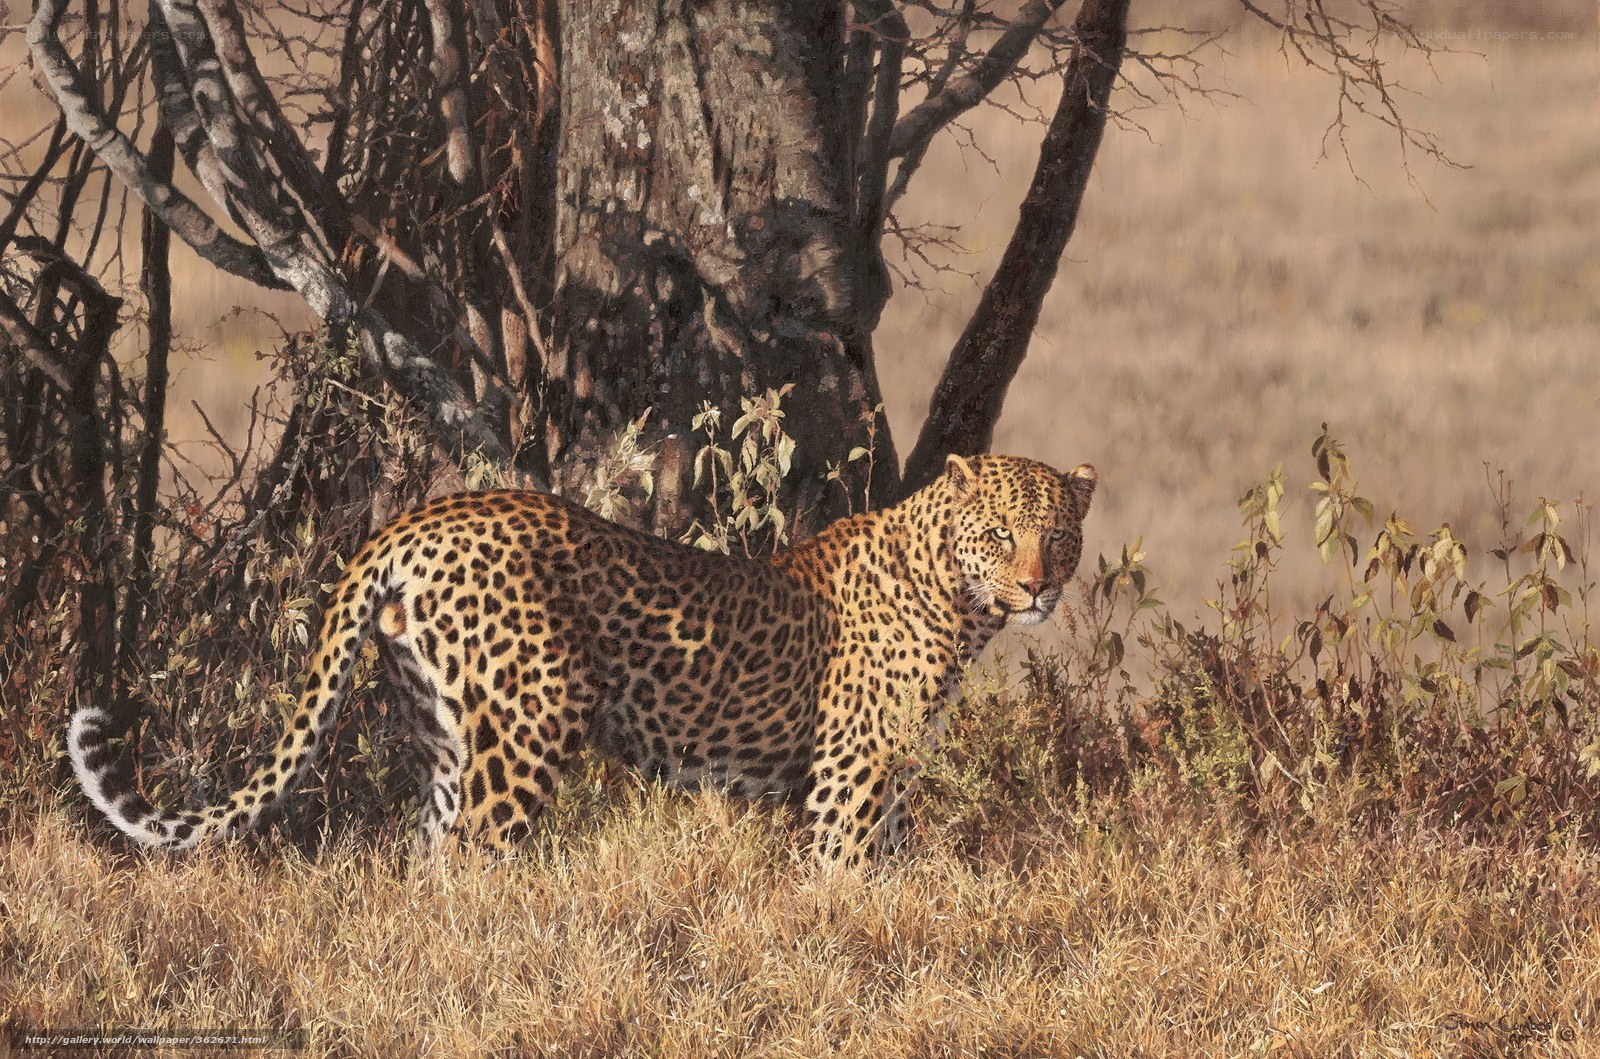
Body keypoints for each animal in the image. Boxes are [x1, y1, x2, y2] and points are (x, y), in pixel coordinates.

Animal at [69, 453, 1097, 866]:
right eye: (1001, 533)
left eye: (1058, 536)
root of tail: (415, 520)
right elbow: (843, 876)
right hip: (533, 720)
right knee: (478, 856)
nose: (1038, 587)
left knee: (432, 858)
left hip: (445, 731)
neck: (958, 600)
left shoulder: (884, 774)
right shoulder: (853, 771)